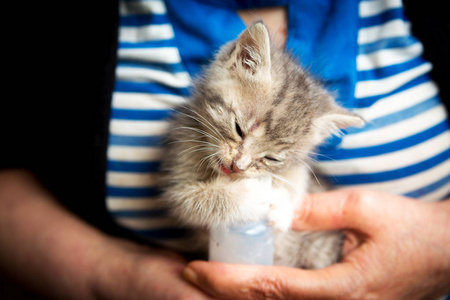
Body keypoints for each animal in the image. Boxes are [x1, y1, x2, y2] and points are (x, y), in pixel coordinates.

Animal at [160, 21, 364, 270]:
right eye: (238, 128)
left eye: (272, 158)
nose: (237, 166)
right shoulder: (178, 173)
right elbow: (192, 202)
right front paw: (247, 197)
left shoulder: (296, 167)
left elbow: (298, 176)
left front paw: (282, 204)